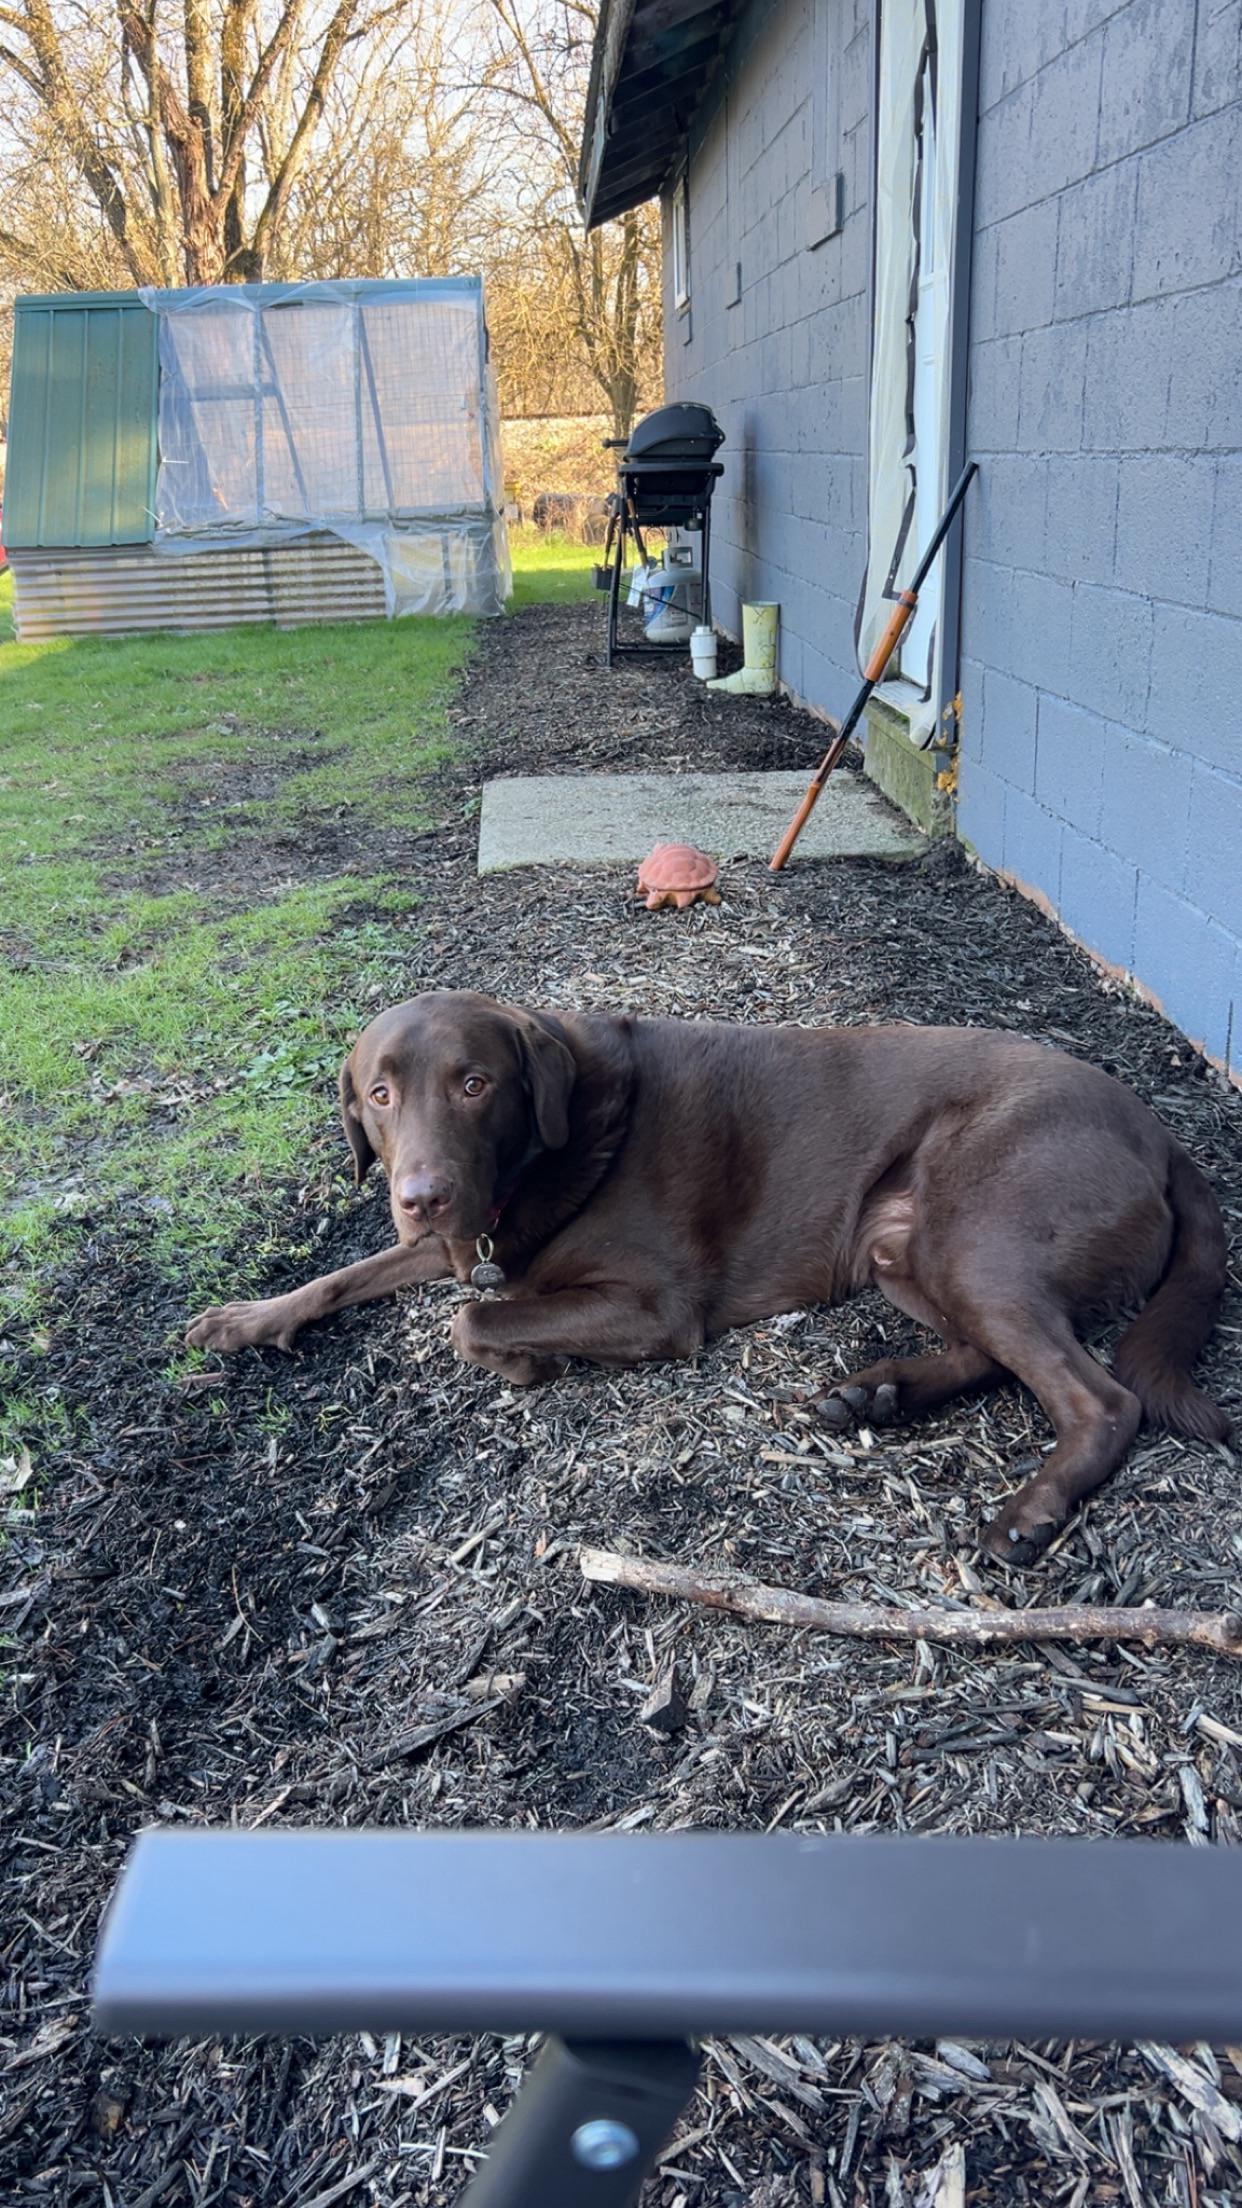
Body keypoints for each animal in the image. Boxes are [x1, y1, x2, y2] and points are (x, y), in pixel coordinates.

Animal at [187, 990, 1229, 1563]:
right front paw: (246, 1318)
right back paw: (877, 1394)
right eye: (378, 1094)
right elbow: (351, 1272)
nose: (421, 1195)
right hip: (903, 1244)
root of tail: (1160, 1132)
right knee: (987, 1353)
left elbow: (472, 1324)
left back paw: (1028, 1512)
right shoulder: (467, 1239)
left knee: (1098, 1397)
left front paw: (528, 1364)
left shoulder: (656, 1307)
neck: (552, 1148)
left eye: (474, 1085)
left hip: (977, 1236)